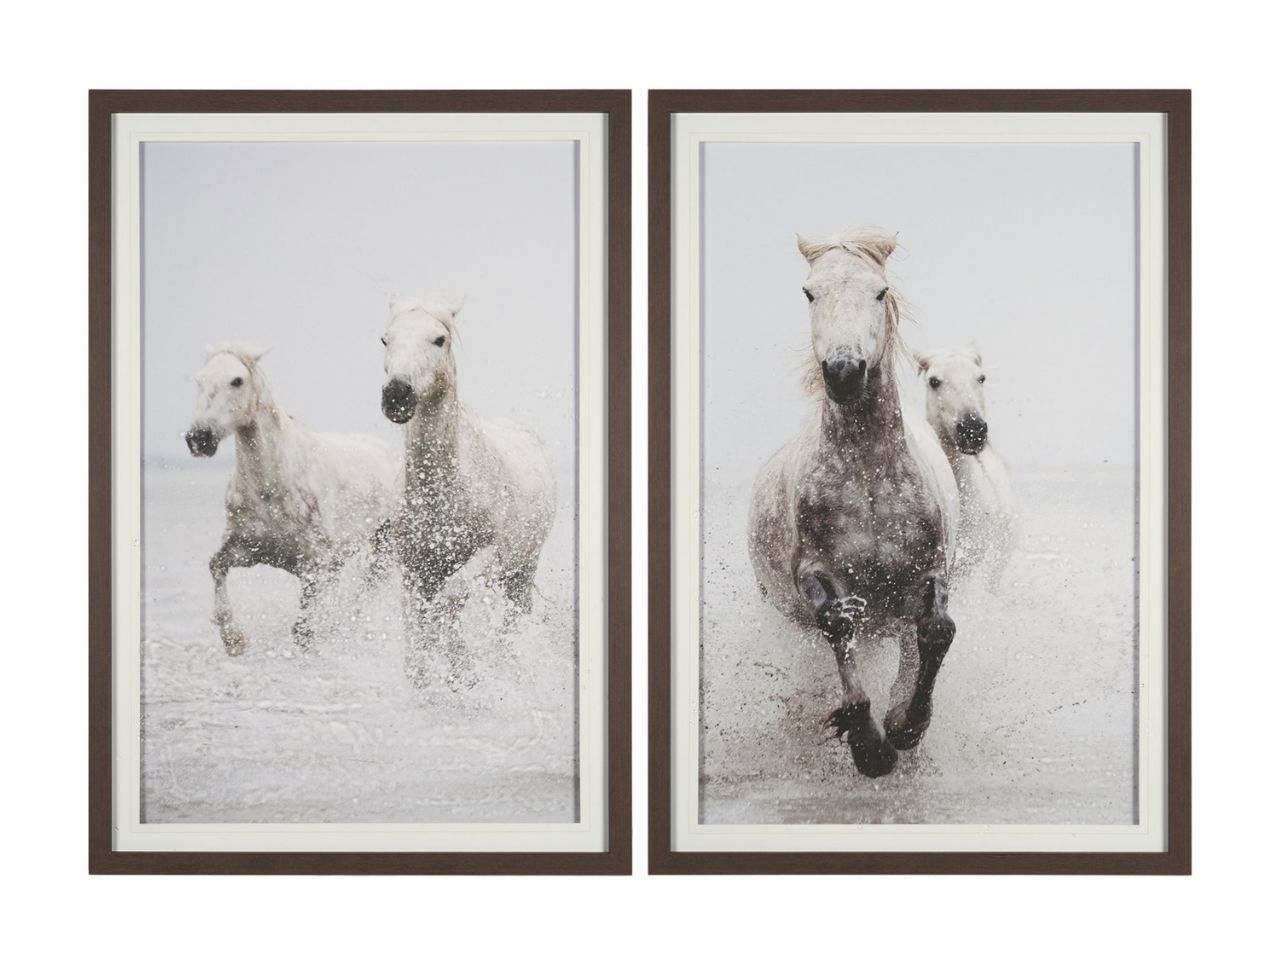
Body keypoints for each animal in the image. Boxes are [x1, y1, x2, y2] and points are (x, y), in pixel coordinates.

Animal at [184, 343, 399, 656]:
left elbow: (303, 632)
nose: (199, 438)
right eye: (199, 380)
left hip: (382, 548)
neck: (271, 488)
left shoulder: (314, 568)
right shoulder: (246, 549)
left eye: (237, 380)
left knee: (364, 594)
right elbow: (216, 566)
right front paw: (234, 640)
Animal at [378, 297, 555, 687]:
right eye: (385, 339)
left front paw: (463, 671)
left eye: (439, 339)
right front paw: (429, 675)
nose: (397, 395)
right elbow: (417, 631)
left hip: (522, 571)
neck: (441, 493)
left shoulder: (489, 555)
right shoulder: (414, 569)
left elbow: (451, 600)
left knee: (510, 620)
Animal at [747, 227, 960, 778]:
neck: (867, 479)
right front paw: (869, 745)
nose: (844, 371)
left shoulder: (929, 570)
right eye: (809, 292)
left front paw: (907, 723)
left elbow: (937, 631)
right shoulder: (814, 571)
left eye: (880, 292)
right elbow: (837, 624)